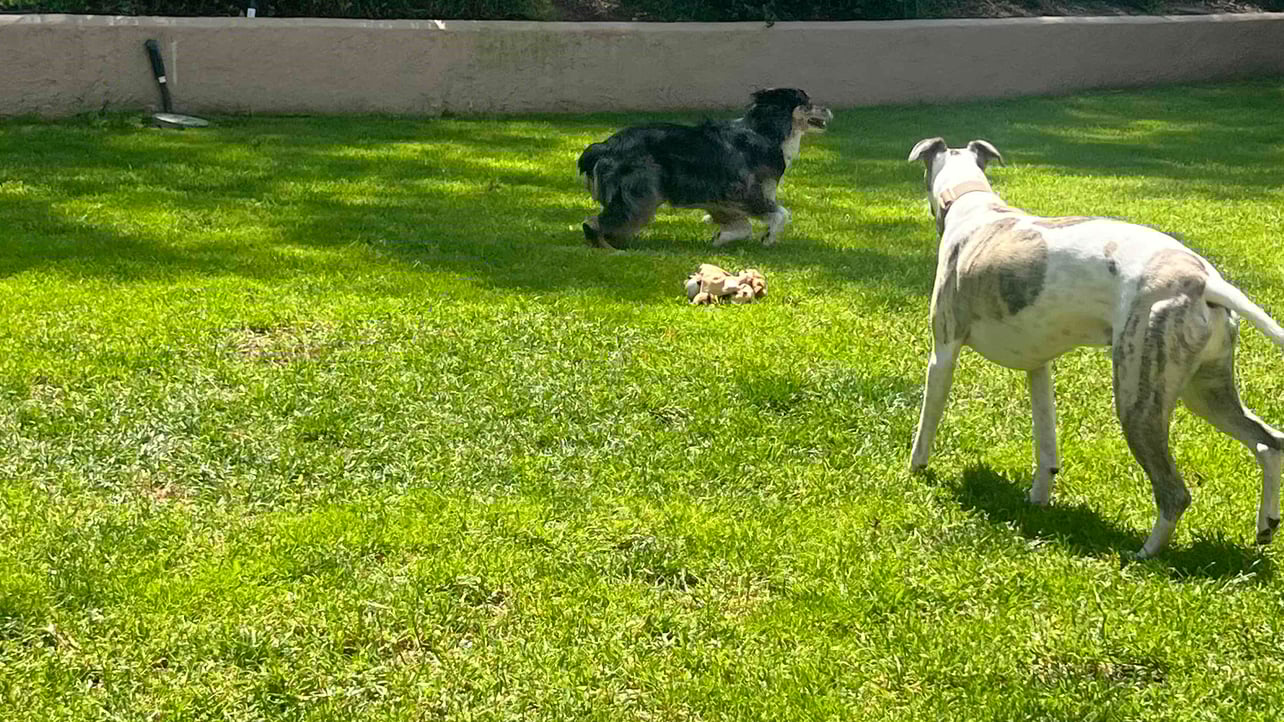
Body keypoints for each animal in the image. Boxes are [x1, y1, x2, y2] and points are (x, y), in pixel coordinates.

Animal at [577, 88, 832, 250]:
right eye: (807, 102)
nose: (828, 109)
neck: (766, 131)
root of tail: (603, 146)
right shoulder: (748, 192)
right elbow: (781, 214)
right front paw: (768, 238)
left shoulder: (719, 198)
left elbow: (743, 226)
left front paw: (720, 238)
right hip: (642, 194)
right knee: (593, 223)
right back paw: (610, 248)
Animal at [907, 136, 1284, 558]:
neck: (972, 203)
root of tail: (1203, 279)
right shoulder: (1038, 367)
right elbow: (1046, 444)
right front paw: (1039, 496)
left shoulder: (944, 349)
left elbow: (927, 422)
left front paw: (916, 469)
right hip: (1205, 391)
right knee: (1270, 442)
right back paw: (1266, 524)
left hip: (1138, 399)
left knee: (1175, 493)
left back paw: (1144, 555)